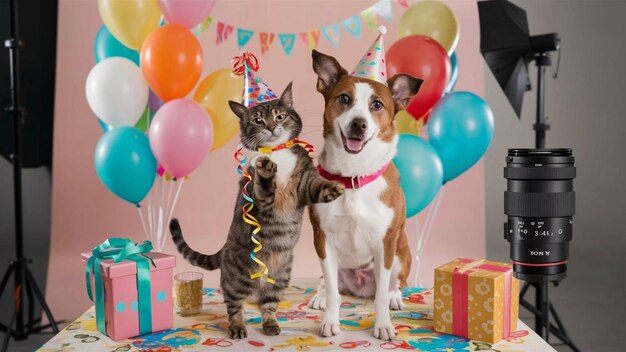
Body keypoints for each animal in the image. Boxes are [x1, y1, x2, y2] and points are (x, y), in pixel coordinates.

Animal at [169, 82, 342, 338]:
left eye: (280, 116)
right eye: (258, 121)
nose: (271, 127)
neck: (277, 151)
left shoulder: (304, 184)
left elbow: (317, 187)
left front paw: (334, 188)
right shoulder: (259, 198)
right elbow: (264, 186)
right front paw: (266, 168)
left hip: (280, 277)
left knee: (268, 305)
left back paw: (271, 324)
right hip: (237, 278)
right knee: (234, 306)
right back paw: (237, 327)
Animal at [306, 50, 420, 340]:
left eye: (377, 105)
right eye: (344, 99)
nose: (359, 124)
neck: (353, 176)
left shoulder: (386, 241)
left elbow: (380, 296)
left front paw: (383, 325)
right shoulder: (322, 238)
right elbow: (333, 292)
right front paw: (330, 319)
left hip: (401, 254)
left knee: (392, 284)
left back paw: (394, 297)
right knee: (329, 284)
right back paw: (320, 295)